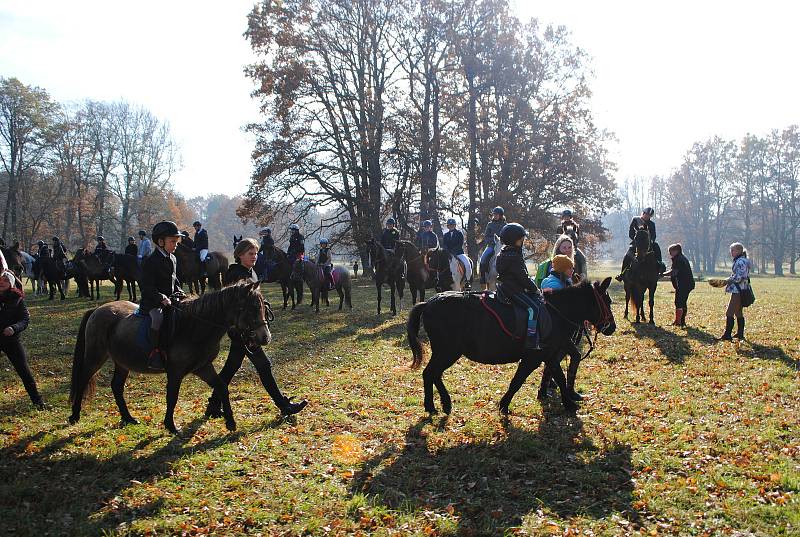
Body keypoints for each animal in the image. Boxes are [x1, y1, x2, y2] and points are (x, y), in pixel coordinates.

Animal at [68, 282, 272, 434]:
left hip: (122, 362)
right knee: (83, 379)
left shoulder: (203, 367)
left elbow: (222, 387)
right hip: (95, 356)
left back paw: (128, 418)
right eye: (252, 308)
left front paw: (230, 422)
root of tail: (97, 310)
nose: (265, 337)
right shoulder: (175, 372)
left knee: (116, 386)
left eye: (262, 306)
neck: (194, 327)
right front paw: (171, 426)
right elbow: (172, 397)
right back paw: (75, 416)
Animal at [406, 278, 612, 416]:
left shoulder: (550, 356)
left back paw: (442, 403)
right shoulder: (534, 358)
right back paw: (432, 405)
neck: (555, 313)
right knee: (430, 373)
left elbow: (559, 378)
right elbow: (518, 380)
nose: (612, 327)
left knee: (433, 374)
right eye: (607, 301)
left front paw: (568, 402)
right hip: (447, 352)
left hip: (445, 352)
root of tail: (428, 303)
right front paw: (504, 404)